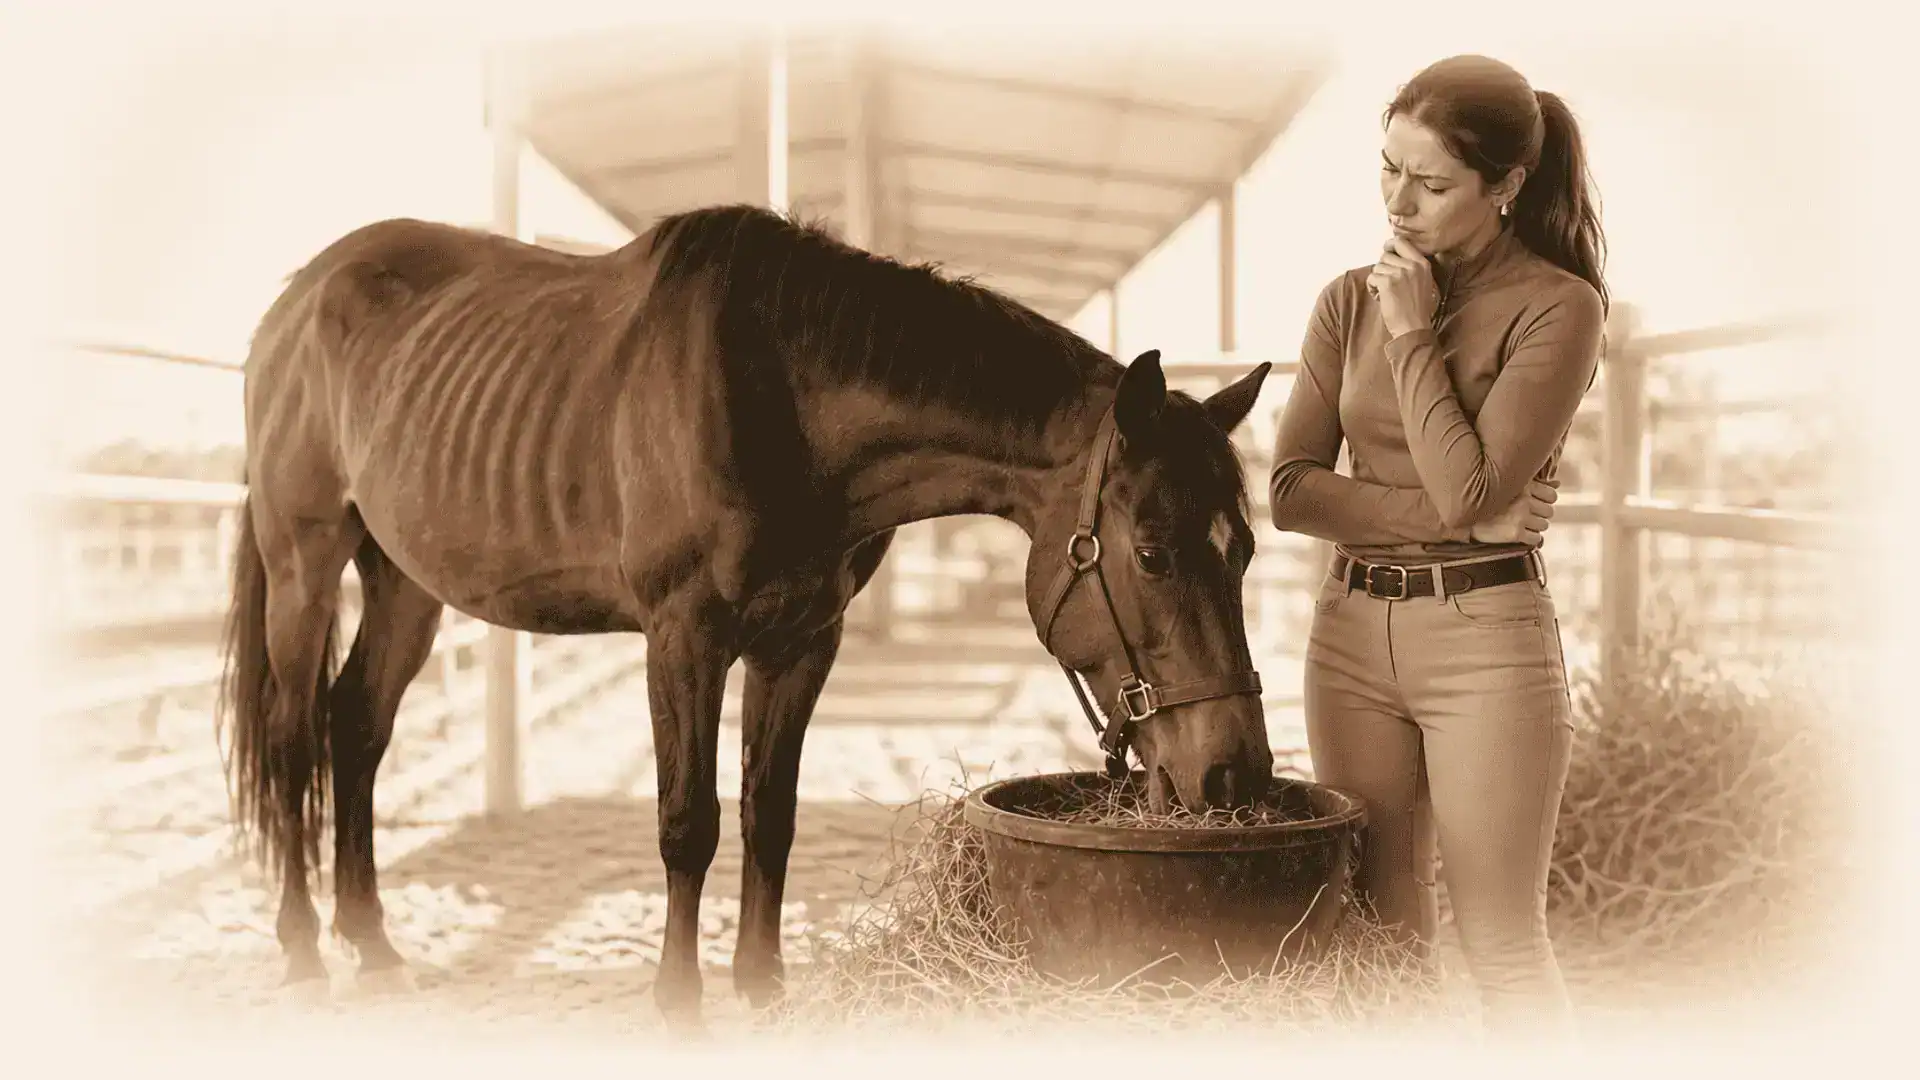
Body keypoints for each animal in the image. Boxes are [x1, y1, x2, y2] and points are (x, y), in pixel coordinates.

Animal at [215, 202, 1277, 1027]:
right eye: (1151, 552)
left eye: (1245, 549)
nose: (1234, 772)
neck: (785, 395)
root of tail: (295, 303)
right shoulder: (682, 638)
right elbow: (689, 822)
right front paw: (679, 1003)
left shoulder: (800, 643)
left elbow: (771, 813)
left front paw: (762, 988)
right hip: (306, 560)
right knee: (295, 739)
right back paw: (303, 951)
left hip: (403, 580)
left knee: (355, 730)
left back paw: (373, 945)